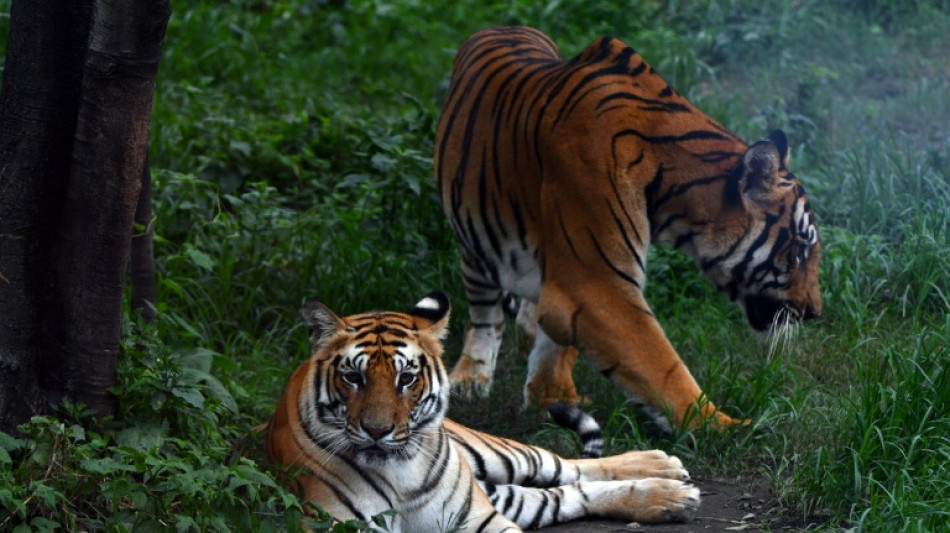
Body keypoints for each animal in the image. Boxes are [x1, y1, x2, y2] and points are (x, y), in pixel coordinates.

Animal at [262, 292, 700, 532]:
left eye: (406, 378)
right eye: (353, 377)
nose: (377, 431)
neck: (401, 475)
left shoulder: (479, 520)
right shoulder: (335, 523)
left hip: (499, 456)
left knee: (566, 466)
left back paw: (663, 470)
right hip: (505, 494)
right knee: (565, 493)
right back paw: (668, 496)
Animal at [434, 26, 822, 431]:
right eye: (798, 251)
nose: (814, 312)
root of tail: (504, 27)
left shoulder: (570, 275)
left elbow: (556, 343)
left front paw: (553, 398)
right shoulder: (596, 286)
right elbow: (662, 365)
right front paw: (728, 427)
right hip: (476, 245)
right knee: (484, 315)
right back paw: (471, 378)